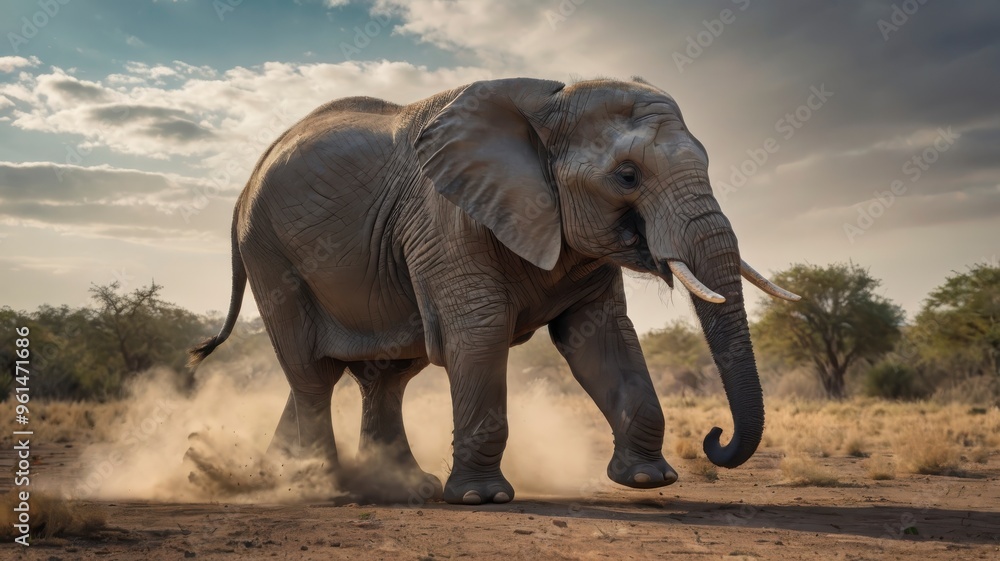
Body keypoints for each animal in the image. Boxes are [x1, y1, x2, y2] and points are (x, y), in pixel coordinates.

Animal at [189, 76, 800, 505]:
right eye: (627, 176)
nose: (716, 437)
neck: (549, 105)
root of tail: (243, 188)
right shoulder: (446, 219)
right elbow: (478, 334)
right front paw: (482, 498)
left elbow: (600, 337)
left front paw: (650, 480)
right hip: (271, 255)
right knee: (312, 371)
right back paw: (322, 489)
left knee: (378, 376)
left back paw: (368, 486)